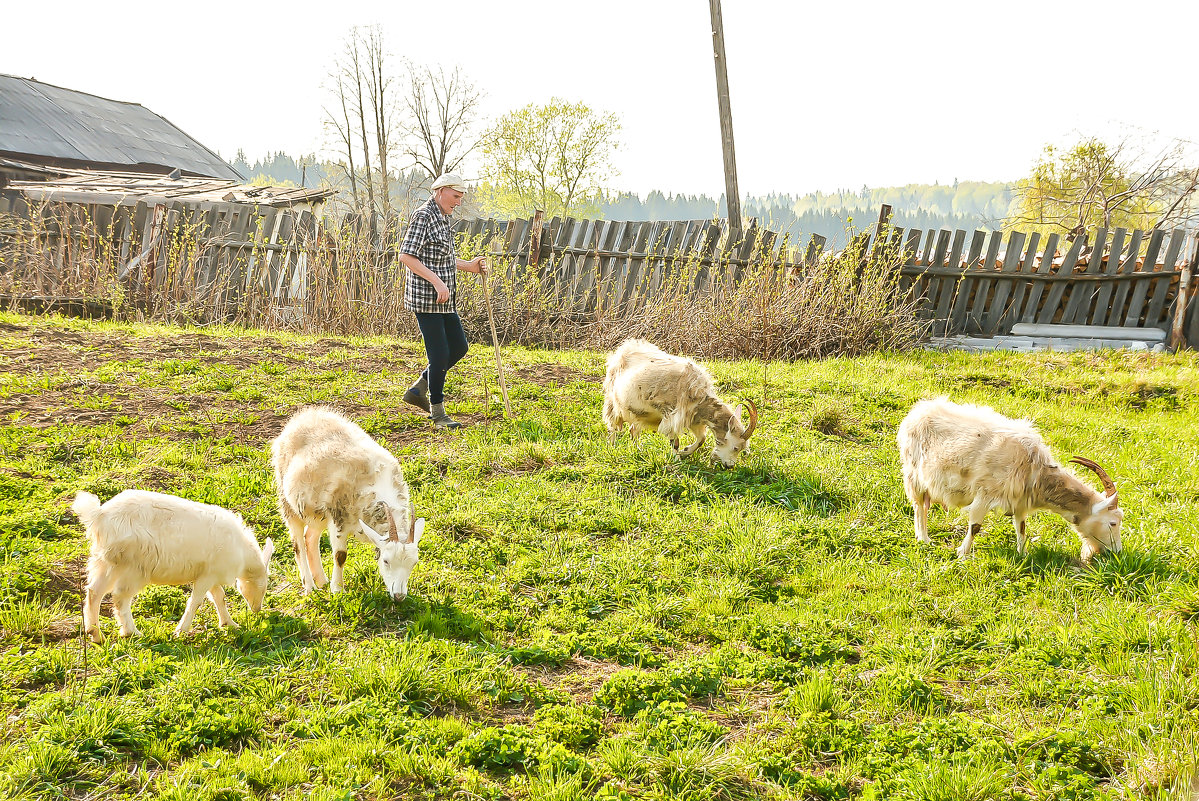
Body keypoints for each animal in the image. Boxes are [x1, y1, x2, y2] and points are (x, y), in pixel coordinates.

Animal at [72, 489, 274, 642]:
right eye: (263, 586)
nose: (257, 609)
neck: (242, 552)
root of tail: (99, 516)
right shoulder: (207, 576)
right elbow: (196, 601)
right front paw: (181, 631)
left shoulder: (210, 575)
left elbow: (219, 597)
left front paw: (229, 624)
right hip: (133, 567)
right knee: (120, 597)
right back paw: (132, 632)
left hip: (106, 562)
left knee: (94, 592)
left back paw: (96, 634)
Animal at [272, 407, 426, 599]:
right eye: (386, 561)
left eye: (414, 563)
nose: (399, 596)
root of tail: (303, 416)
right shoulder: (338, 518)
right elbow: (340, 555)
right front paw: (337, 590)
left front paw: (332, 586)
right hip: (287, 501)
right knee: (297, 543)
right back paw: (309, 586)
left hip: (318, 512)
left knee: (310, 537)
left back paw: (321, 581)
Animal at [599, 340, 757, 470]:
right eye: (735, 447)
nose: (729, 466)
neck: (699, 396)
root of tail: (622, 350)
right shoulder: (672, 415)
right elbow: (674, 441)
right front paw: (677, 460)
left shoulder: (694, 419)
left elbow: (701, 439)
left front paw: (685, 452)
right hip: (613, 402)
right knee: (612, 426)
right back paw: (612, 447)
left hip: (639, 413)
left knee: (633, 430)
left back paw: (638, 450)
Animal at [901, 395, 1122, 561]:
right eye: (1113, 523)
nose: (1117, 552)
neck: (1035, 469)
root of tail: (916, 413)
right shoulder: (984, 493)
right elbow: (975, 526)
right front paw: (962, 554)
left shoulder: (1020, 502)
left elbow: (1021, 528)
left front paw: (1022, 554)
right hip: (913, 474)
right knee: (919, 507)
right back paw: (924, 539)